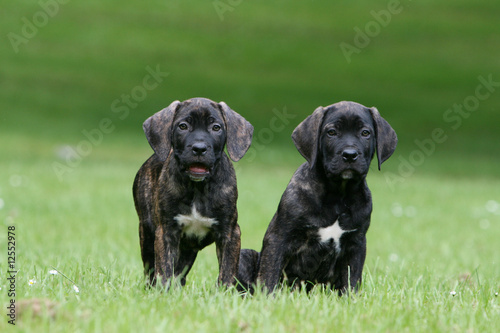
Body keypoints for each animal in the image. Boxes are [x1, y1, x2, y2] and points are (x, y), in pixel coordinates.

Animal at [134, 97, 254, 286]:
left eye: (216, 128)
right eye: (183, 126)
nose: (199, 148)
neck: (198, 189)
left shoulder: (230, 233)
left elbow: (227, 272)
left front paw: (224, 292)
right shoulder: (166, 232)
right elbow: (164, 270)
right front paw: (163, 291)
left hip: (187, 251)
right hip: (146, 233)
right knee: (151, 271)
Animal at [236, 101, 396, 294]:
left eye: (365, 133)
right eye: (331, 132)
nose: (350, 155)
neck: (338, 194)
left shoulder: (356, 243)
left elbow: (352, 279)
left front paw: (350, 299)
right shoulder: (278, 237)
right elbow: (269, 273)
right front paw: (267, 297)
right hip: (245, 256)